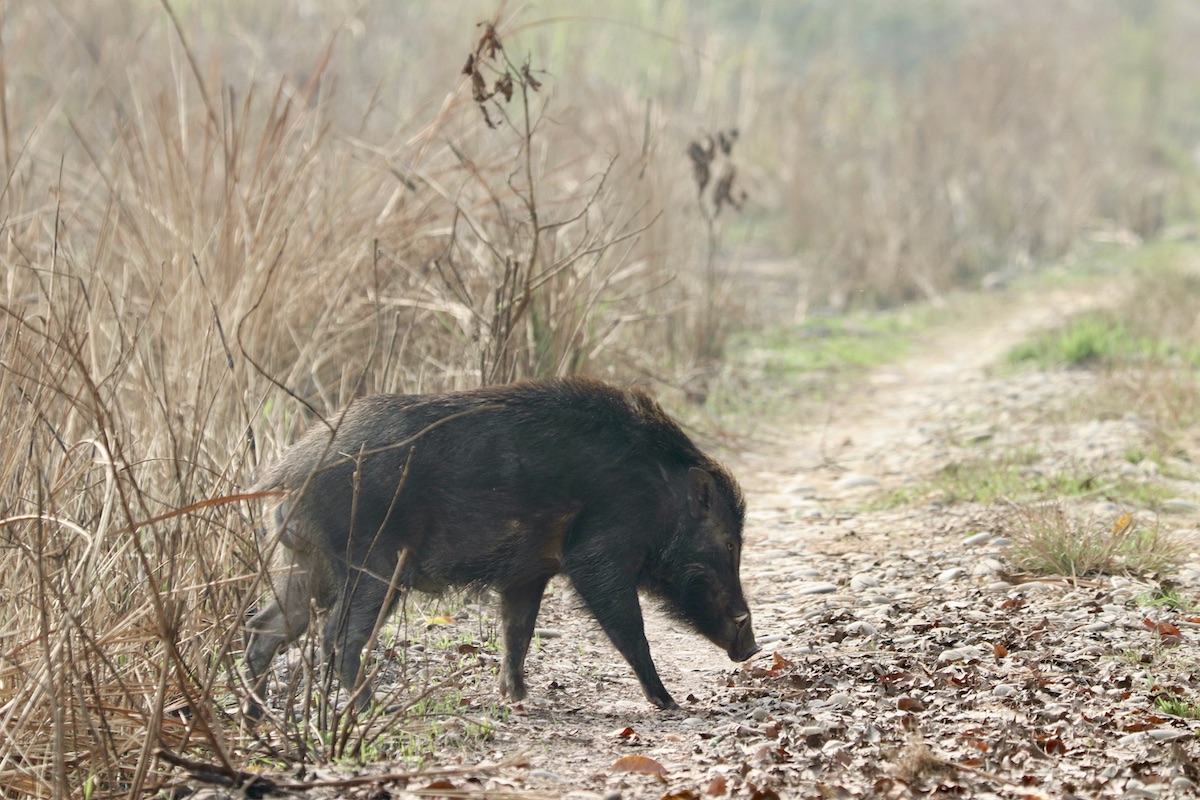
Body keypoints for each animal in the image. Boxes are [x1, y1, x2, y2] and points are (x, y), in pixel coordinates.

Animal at [243, 377, 758, 715]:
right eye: (729, 542)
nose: (751, 647)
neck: (659, 497)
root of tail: (287, 473)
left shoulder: (529, 571)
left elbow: (518, 630)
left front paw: (516, 698)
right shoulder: (598, 553)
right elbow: (630, 627)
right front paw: (668, 703)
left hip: (306, 566)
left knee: (266, 628)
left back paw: (256, 716)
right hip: (372, 563)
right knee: (338, 635)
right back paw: (375, 710)